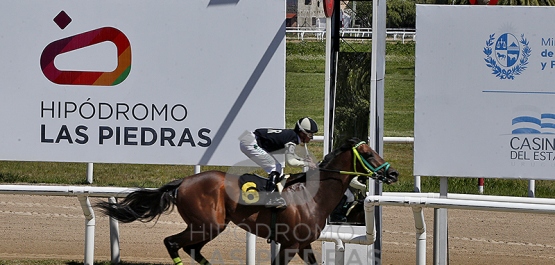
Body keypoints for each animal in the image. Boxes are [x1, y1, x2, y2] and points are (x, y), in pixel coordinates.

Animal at [96, 137, 400, 262]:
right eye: (369, 154)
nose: (394, 173)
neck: (312, 196)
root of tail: (182, 182)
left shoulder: (302, 244)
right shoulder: (291, 244)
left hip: (207, 227)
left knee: (191, 249)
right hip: (207, 225)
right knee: (172, 243)